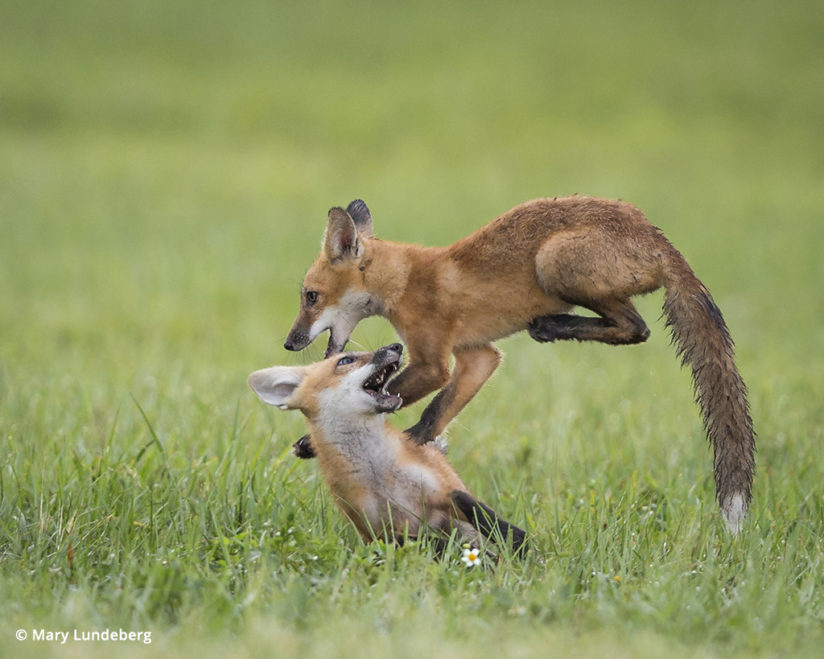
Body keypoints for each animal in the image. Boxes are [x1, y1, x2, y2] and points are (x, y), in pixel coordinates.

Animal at [248, 342, 524, 548]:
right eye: (346, 361)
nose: (397, 346)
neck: (378, 474)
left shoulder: (444, 493)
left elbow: (500, 527)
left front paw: (526, 554)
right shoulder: (380, 532)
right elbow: (428, 544)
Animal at [286, 196, 756, 536]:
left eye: (310, 297)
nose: (290, 343)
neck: (406, 280)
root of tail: (658, 238)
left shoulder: (433, 360)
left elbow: (411, 399)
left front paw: (321, 444)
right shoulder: (479, 356)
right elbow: (436, 414)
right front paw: (417, 449)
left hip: (553, 261)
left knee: (636, 327)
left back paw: (554, 325)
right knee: (636, 328)